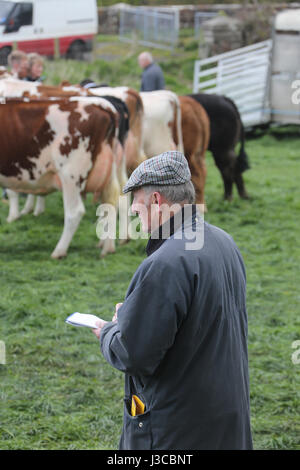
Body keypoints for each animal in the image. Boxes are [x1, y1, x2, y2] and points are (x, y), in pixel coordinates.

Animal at [0, 95, 125, 258]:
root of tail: (100, 103)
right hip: (107, 173)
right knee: (109, 203)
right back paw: (107, 248)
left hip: (71, 175)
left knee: (75, 212)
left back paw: (59, 251)